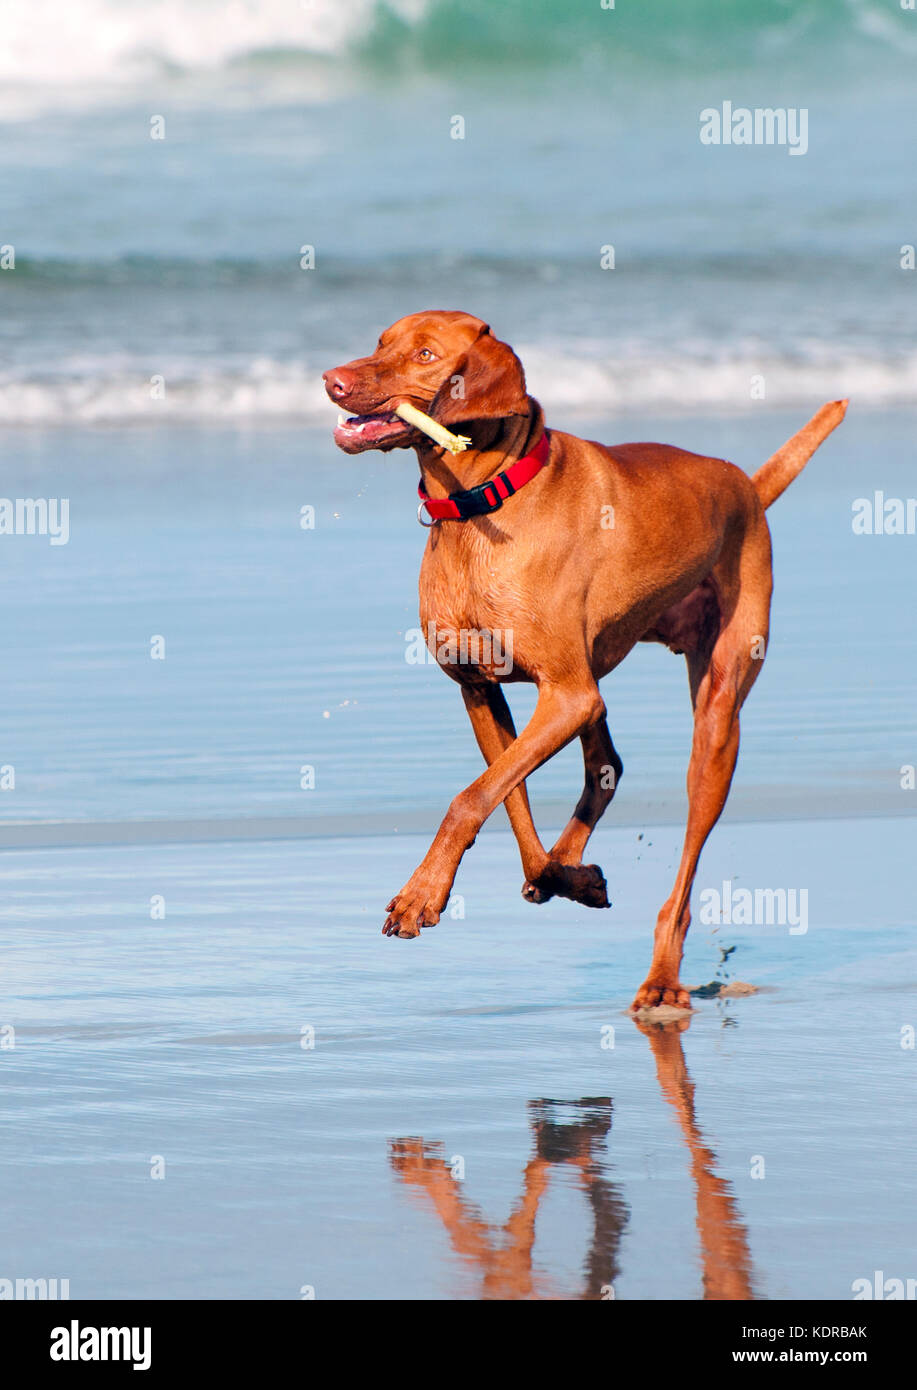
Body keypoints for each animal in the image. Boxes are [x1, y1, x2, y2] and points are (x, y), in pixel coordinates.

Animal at [322, 312, 844, 1011]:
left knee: (682, 873)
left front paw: (420, 895)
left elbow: (469, 798)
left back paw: (661, 977)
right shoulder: (483, 689)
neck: (483, 501)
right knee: (608, 766)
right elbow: (509, 804)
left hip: (714, 723)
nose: (332, 379)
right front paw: (562, 875)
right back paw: (572, 871)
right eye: (381, 342)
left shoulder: (564, 695)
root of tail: (747, 488)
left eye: (426, 355)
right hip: (594, 680)